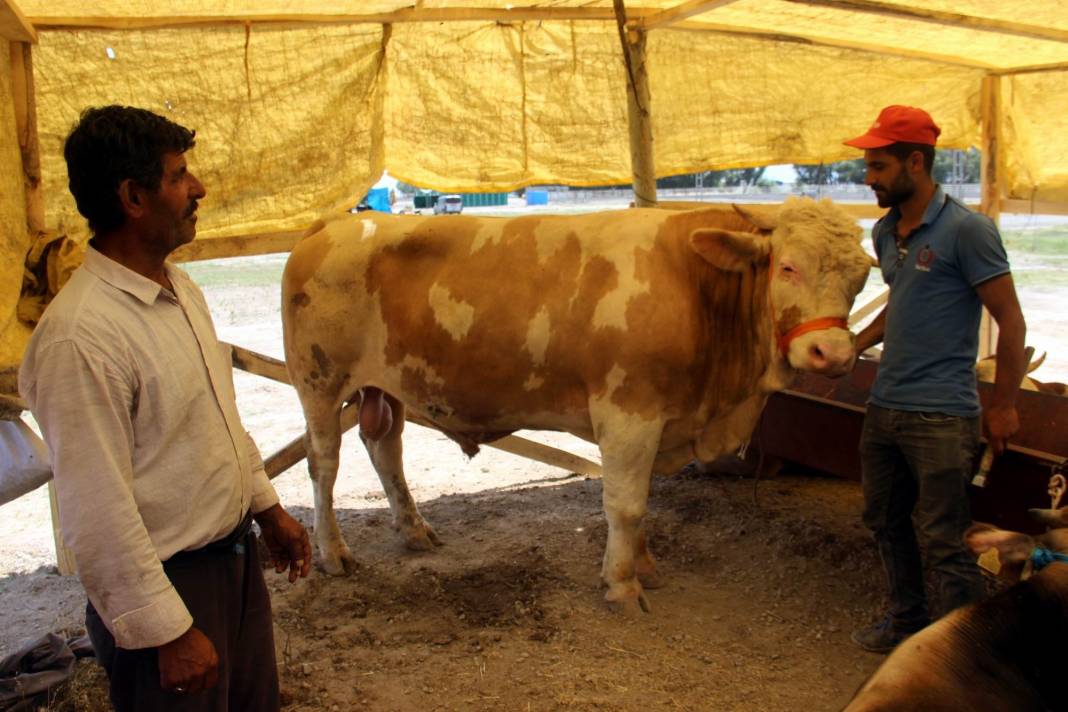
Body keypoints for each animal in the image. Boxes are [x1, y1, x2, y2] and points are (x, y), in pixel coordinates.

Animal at [286, 199, 875, 614]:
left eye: (861, 276)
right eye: (788, 268)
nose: (832, 353)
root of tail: (335, 224)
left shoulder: (658, 420)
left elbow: (641, 503)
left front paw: (644, 565)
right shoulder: (629, 413)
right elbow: (626, 504)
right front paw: (622, 585)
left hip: (385, 387)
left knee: (385, 449)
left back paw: (413, 531)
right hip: (318, 382)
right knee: (324, 464)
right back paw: (333, 553)